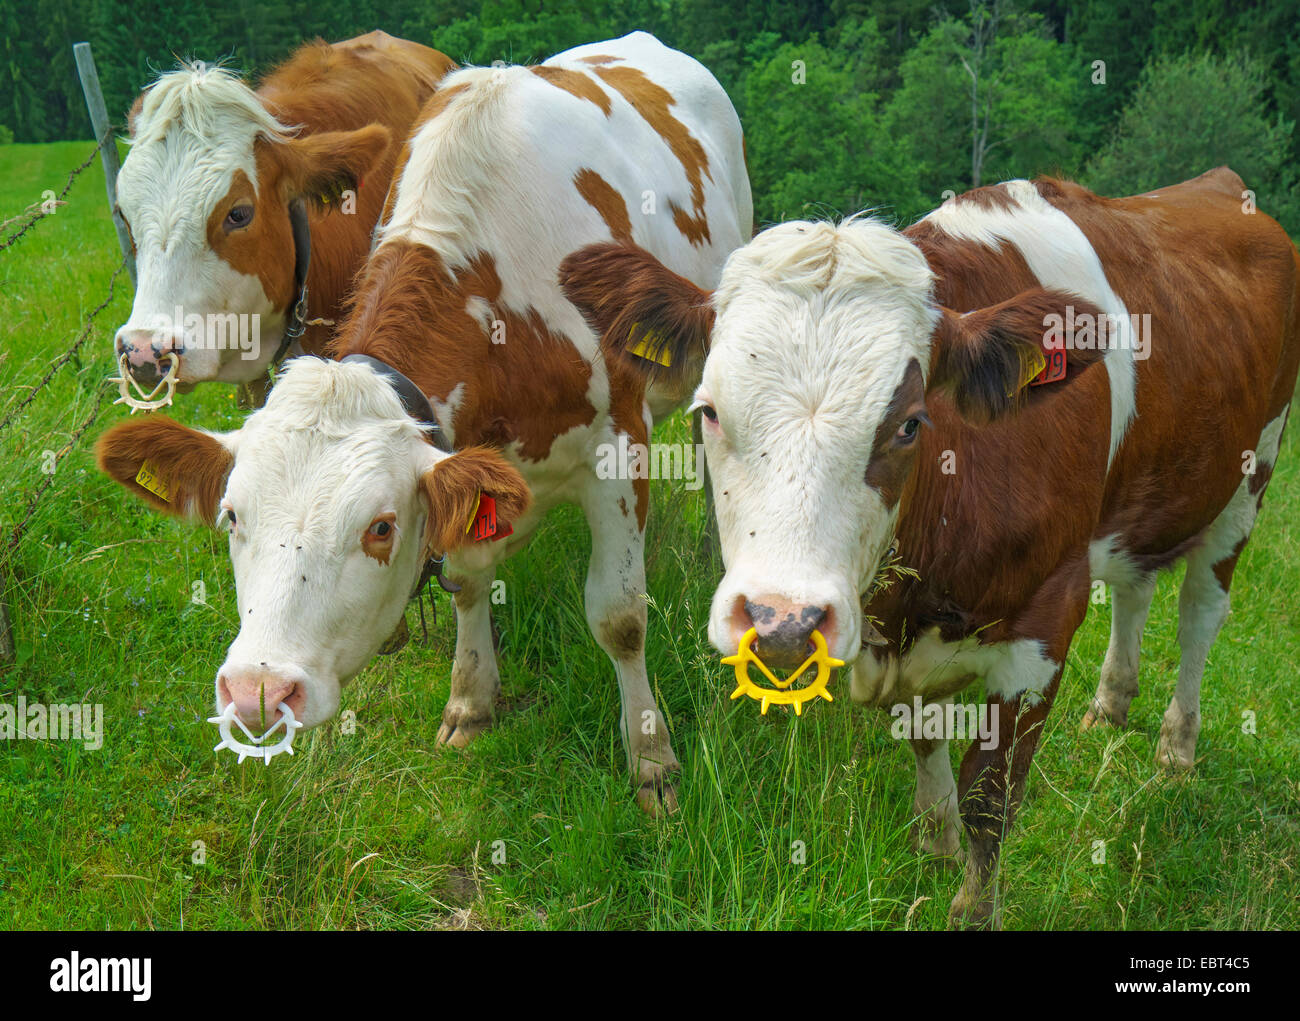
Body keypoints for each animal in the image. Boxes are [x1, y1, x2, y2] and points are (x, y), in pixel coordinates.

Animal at [564, 169, 1300, 926]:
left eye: (911, 424)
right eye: (708, 410)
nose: (781, 621)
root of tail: (1217, 184)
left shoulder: (1048, 617)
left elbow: (990, 798)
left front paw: (973, 904)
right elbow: (923, 730)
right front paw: (934, 838)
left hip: (1255, 468)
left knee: (1200, 612)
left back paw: (1176, 748)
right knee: (1137, 585)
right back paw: (1111, 705)